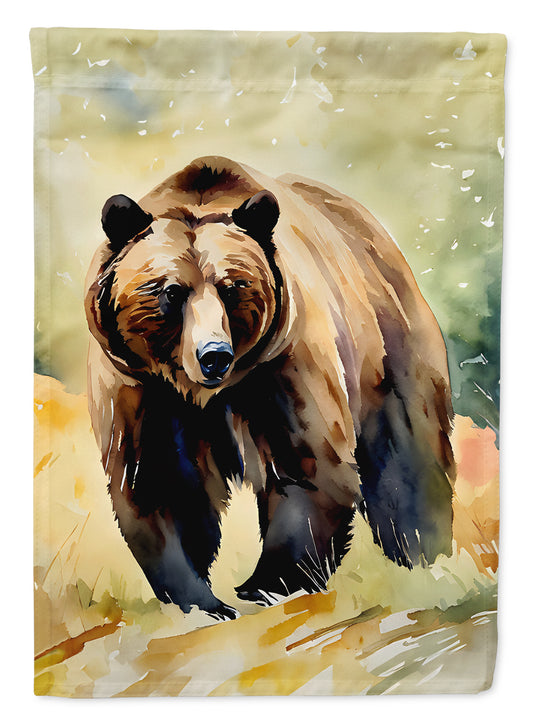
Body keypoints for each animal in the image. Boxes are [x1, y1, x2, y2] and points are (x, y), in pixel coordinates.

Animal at [85, 156, 455, 620]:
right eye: (171, 292)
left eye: (232, 287)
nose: (214, 355)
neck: (205, 394)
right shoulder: (141, 387)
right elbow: (158, 482)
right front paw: (201, 599)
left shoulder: (282, 363)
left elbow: (308, 466)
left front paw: (264, 585)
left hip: (389, 349)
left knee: (408, 460)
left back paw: (425, 557)